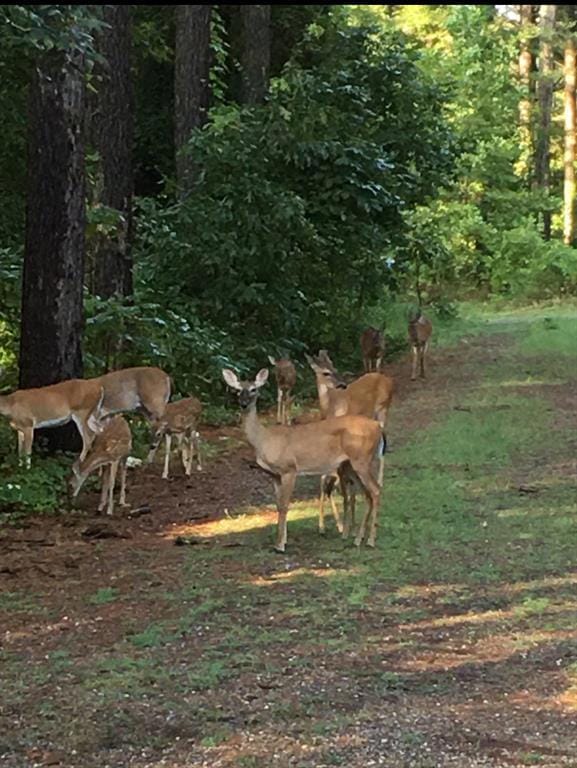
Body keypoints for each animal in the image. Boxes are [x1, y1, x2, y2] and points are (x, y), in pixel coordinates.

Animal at [222, 368, 382, 553]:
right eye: (237, 389)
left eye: (254, 389)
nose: (243, 403)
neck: (264, 439)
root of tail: (378, 426)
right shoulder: (274, 475)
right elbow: (278, 505)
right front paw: (281, 540)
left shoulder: (289, 469)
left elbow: (285, 505)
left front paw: (280, 545)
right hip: (351, 464)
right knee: (367, 493)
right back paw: (357, 539)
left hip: (361, 459)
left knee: (376, 490)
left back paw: (370, 540)